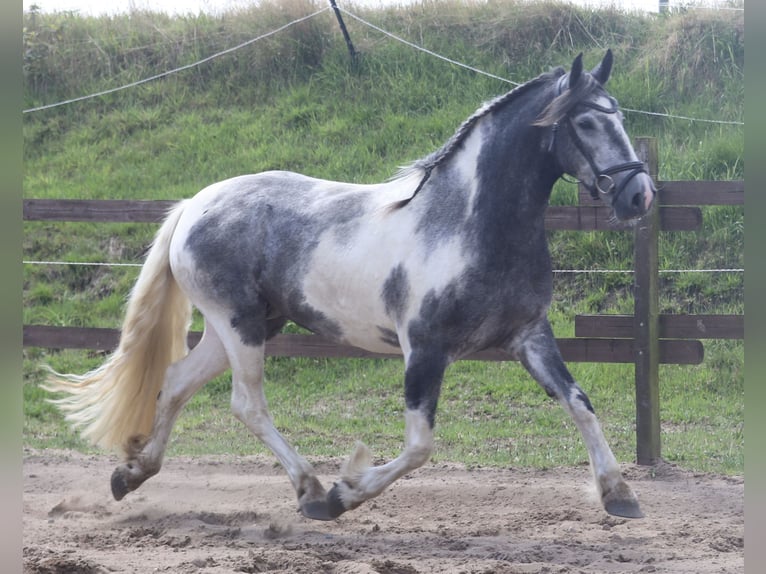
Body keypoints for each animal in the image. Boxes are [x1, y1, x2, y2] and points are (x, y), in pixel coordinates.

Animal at [48, 51, 656, 524]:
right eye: (586, 123)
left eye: (620, 117)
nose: (639, 196)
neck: (468, 224)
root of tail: (195, 204)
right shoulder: (425, 350)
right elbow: (419, 446)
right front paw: (346, 492)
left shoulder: (529, 335)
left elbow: (580, 404)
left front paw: (619, 494)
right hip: (239, 324)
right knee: (248, 403)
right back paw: (313, 492)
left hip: (241, 326)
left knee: (175, 382)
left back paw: (131, 474)